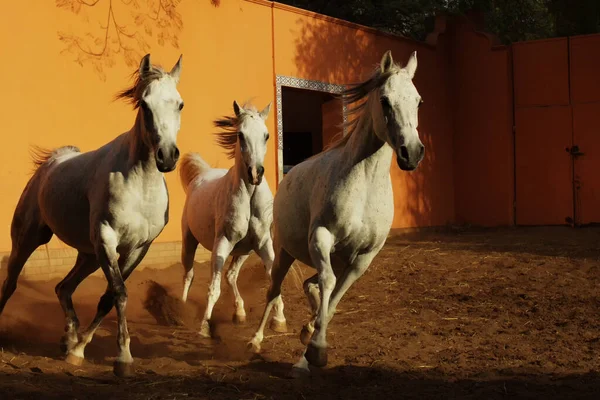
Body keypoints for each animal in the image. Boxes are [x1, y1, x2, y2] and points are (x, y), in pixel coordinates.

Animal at [0, 54, 184, 376]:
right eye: (145, 104)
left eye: (180, 104)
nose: (167, 156)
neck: (140, 185)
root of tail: (51, 163)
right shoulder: (106, 239)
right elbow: (119, 293)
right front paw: (123, 358)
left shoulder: (139, 249)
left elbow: (108, 297)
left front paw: (78, 350)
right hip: (28, 239)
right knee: (10, 284)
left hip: (87, 255)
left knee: (63, 287)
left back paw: (67, 339)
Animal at [177, 100, 288, 338]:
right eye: (240, 135)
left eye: (266, 135)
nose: (256, 173)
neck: (249, 198)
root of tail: (202, 174)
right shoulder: (223, 243)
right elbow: (213, 288)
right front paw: (204, 326)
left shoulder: (263, 244)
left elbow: (273, 280)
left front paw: (279, 320)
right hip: (189, 241)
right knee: (189, 274)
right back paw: (181, 308)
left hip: (243, 251)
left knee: (230, 275)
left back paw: (239, 312)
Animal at [246, 49, 424, 376]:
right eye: (385, 100)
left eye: (418, 101)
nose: (412, 153)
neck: (364, 185)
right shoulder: (321, 237)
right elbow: (329, 286)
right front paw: (316, 351)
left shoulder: (362, 258)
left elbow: (337, 297)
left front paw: (310, 346)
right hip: (285, 252)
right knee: (275, 290)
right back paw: (255, 340)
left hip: (336, 258)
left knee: (312, 285)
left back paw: (306, 329)